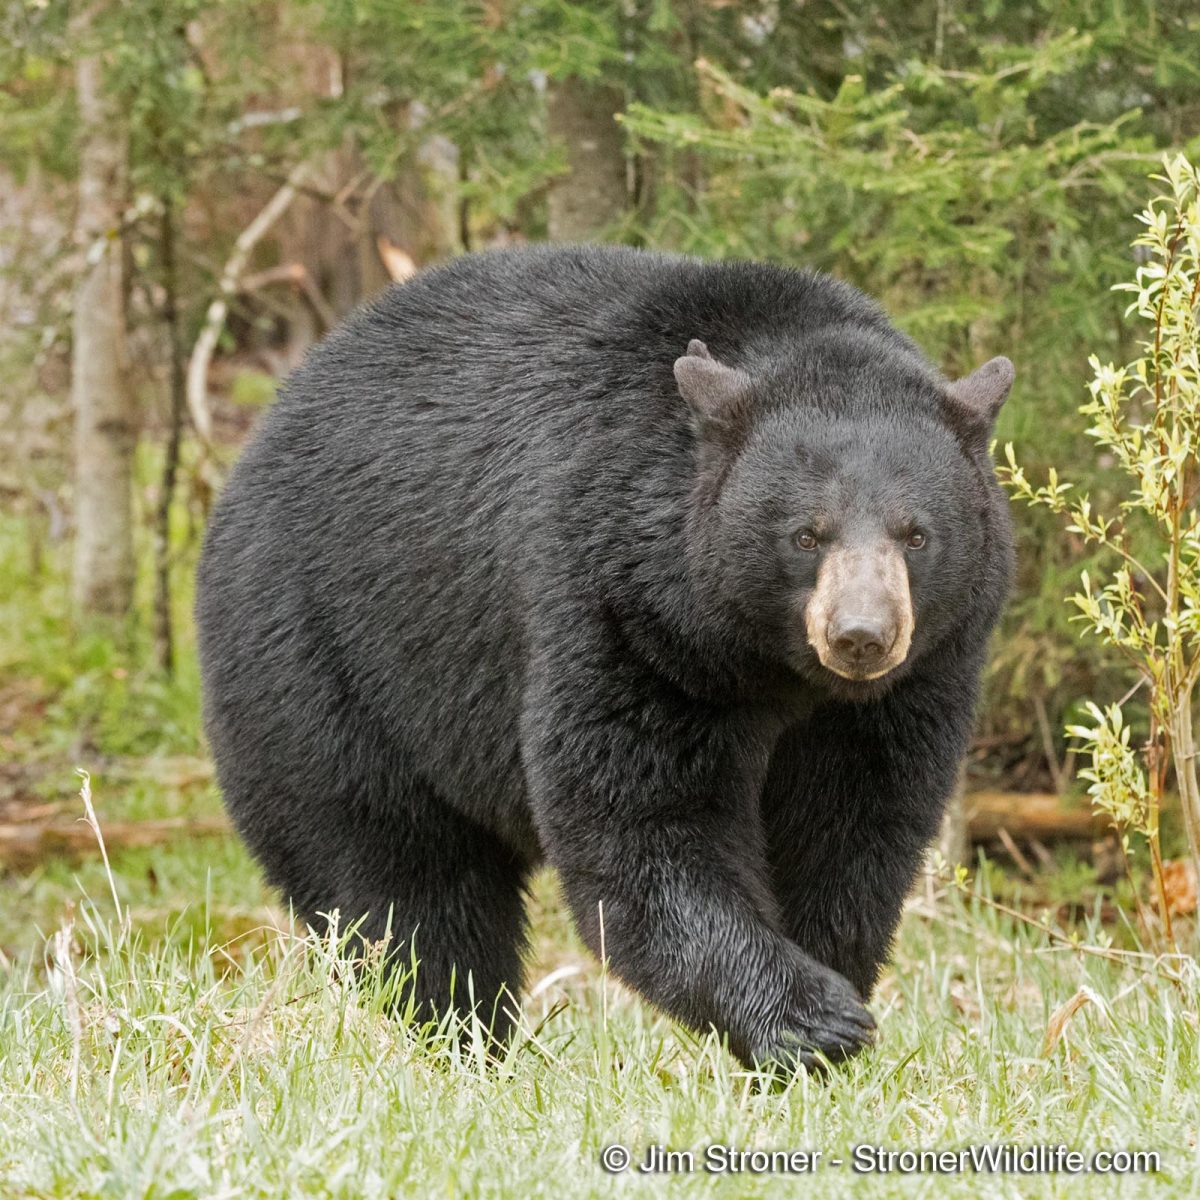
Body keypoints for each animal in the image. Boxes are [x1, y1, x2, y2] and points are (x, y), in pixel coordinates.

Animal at [199, 243, 1012, 1070]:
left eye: (917, 534)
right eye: (806, 534)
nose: (861, 635)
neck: (774, 668)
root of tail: (261, 435)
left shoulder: (913, 683)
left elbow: (854, 827)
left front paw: (825, 990)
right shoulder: (627, 615)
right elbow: (640, 822)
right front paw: (809, 1020)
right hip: (328, 661)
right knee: (395, 876)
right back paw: (458, 1034)